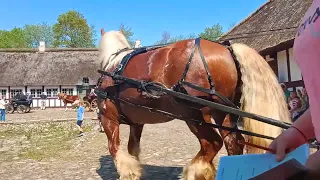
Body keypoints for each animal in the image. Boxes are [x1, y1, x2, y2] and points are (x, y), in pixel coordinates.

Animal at [96, 28, 292, 180]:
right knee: (233, 143)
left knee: (212, 143)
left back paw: (193, 172)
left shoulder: (108, 118)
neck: (113, 66)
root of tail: (227, 48)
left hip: (193, 114)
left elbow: (114, 148)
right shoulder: (137, 123)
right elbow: (132, 149)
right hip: (223, 114)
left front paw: (128, 172)